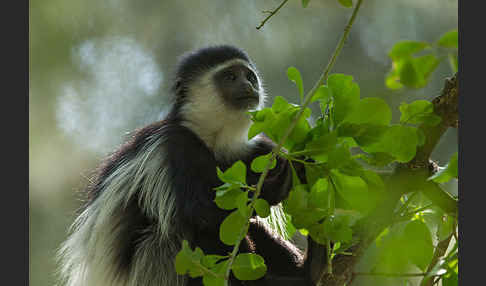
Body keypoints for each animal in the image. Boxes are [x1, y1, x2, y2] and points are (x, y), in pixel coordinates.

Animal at [58, 45, 318, 286]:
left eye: (249, 76)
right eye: (230, 77)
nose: (249, 86)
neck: (211, 139)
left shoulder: (255, 150)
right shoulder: (173, 147)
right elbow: (201, 209)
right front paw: (272, 187)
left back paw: (308, 270)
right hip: (156, 268)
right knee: (191, 228)